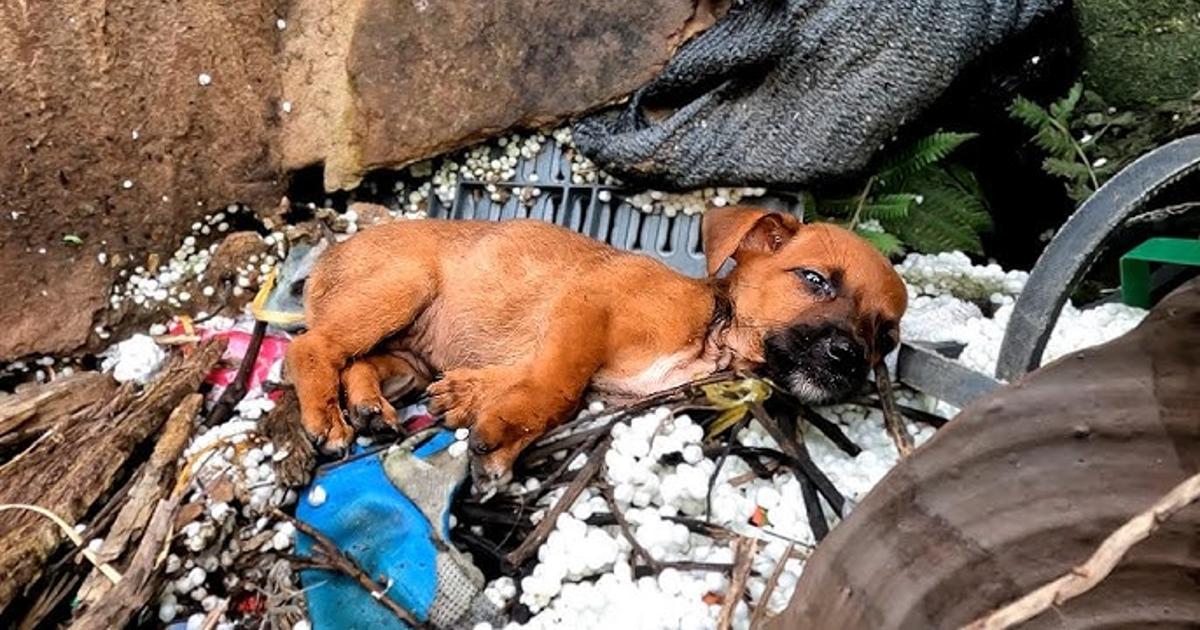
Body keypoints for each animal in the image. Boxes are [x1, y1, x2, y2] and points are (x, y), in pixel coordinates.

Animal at [288, 206, 907, 492]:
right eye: (815, 280)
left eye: (888, 336)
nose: (850, 358)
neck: (711, 337)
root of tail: (325, 257)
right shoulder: (585, 306)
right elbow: (559, 386)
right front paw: (504, 436)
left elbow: (532, 377)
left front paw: (475, 394)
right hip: (404, 286)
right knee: (312, 346)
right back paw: (326, 419)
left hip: (408, 359)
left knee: (356, 361)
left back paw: (367, 405)